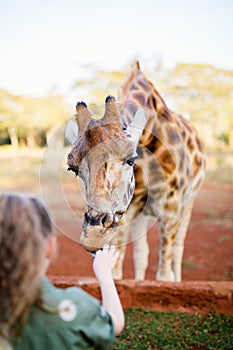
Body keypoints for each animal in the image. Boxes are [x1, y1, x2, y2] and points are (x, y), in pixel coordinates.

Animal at [66, 62, 206, 282]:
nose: (93, 236)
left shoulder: (171, 206)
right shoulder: (129, 207)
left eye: (130, 159)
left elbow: (163, 275)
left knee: (178, 249)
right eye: (73, 169)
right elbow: (119, 270)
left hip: (188, 203)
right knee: (142, 253)